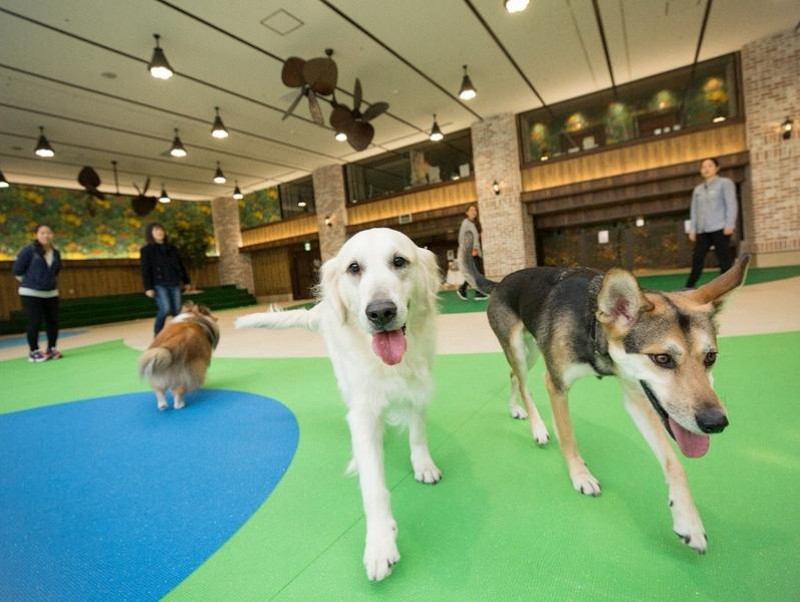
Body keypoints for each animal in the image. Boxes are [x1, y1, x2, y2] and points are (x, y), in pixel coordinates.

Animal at [468, 254, 752, 552]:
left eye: (710, 357)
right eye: (662, 358)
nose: (716, 422)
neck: (593, 325)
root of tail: (500, 282)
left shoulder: (637, 395)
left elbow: (675, 463)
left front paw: (689, 522)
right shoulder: (555, 383)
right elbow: (568, 437)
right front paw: (580, 476)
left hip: (531, 351)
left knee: (512, 375)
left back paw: (515, 409)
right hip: (519, 348)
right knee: (523, 383)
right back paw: (538, 428)